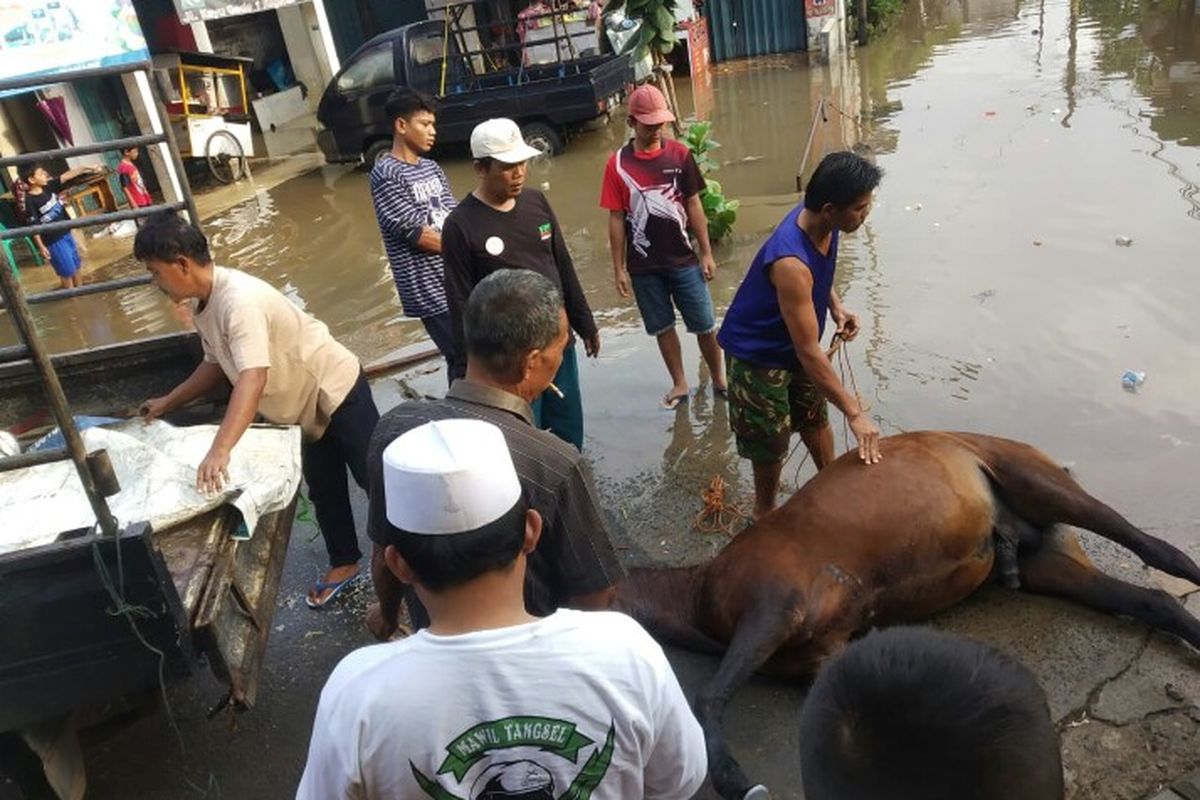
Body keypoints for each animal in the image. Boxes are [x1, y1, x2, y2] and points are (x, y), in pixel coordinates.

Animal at [614, 431, 1200, 800]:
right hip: (1048, 563)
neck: (697, 593)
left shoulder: (772, 606)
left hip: (1041, 484)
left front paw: (734, 777)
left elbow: (710, 695)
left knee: (1160, 552)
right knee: (1152, 600)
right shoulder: (827, 653)